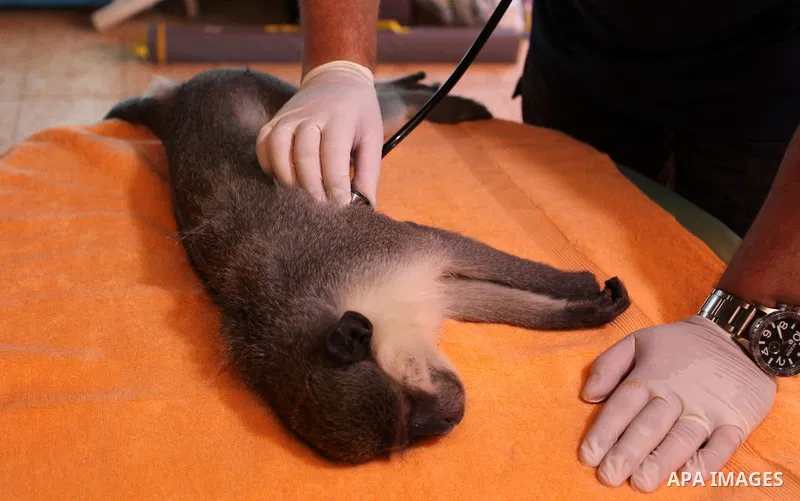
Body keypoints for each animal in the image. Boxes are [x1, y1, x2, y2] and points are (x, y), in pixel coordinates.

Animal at [104, 67, 631, 465]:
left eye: (408, 405)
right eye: (407, 434)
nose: (451, 420)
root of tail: (173, 104)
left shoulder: (402, 249)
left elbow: (510, 269)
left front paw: (579, 280)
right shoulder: (426, 290)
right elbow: (507, 302)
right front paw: (590, 310)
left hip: (299, 104)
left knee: (381, 98)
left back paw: (433, 93)